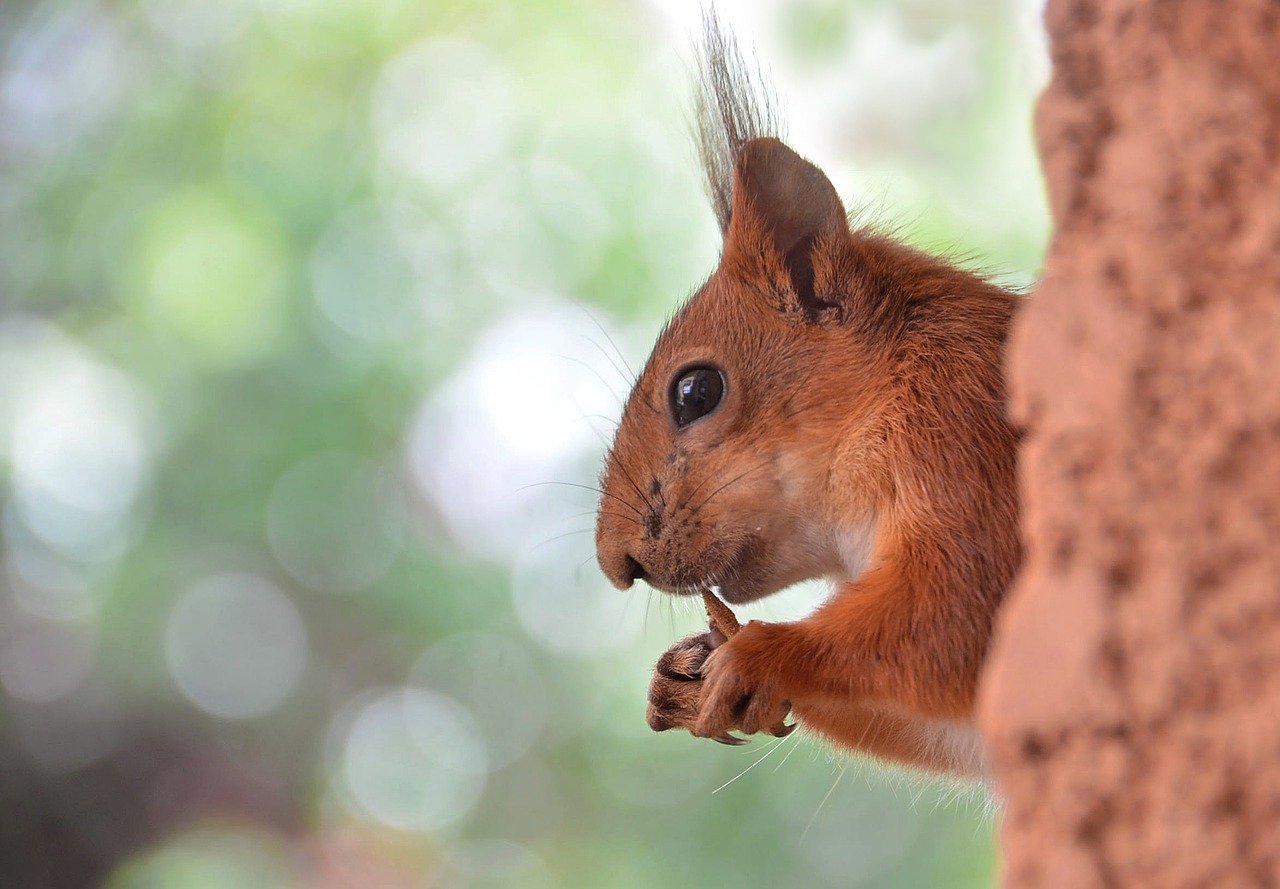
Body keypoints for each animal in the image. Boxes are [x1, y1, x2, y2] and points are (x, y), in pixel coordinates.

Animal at [593, 15, 1024, 777]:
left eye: (696, 391)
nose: (618, 565)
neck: (885, 397)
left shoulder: (969, 441)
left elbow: (958, 618)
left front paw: (759, 652)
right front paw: (682, 677)